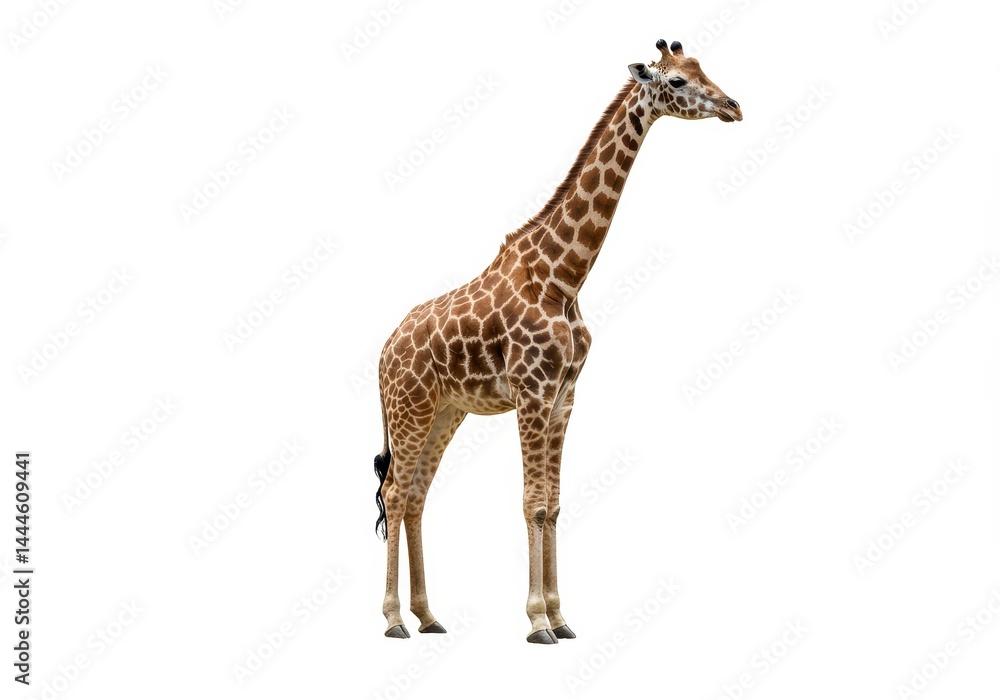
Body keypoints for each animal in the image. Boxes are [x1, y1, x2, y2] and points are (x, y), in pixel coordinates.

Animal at [373, 39, 741, 643]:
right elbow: (532, 504)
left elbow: (555, 504)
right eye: (678, 82)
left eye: (702, 68)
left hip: (446, 411)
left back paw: (428, 615)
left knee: (417, 496)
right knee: (395, 492)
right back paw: (393, 619)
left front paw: (561, 616)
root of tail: (381, 353)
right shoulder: (533, 392)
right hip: (411, 407)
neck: (565, 277)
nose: (734, 106)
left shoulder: (565, 396)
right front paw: (537, 620)